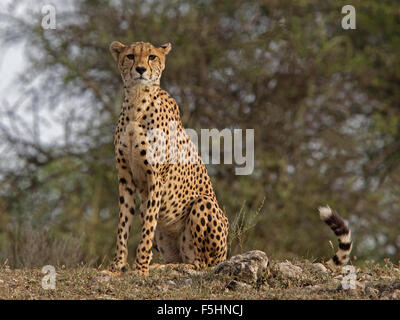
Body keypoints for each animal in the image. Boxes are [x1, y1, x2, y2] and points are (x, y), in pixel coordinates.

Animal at [108, 40, 228, 276]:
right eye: (130, 56)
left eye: (152, 56)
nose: (140, 69)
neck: (137, 101)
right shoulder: (125, 178)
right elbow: (123, 224)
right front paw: (117, 265)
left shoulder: (156, 179)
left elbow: (147, 228)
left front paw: (141, 268)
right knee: (178, 257)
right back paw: (163, 265)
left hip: (204, 204)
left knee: (200, 263)